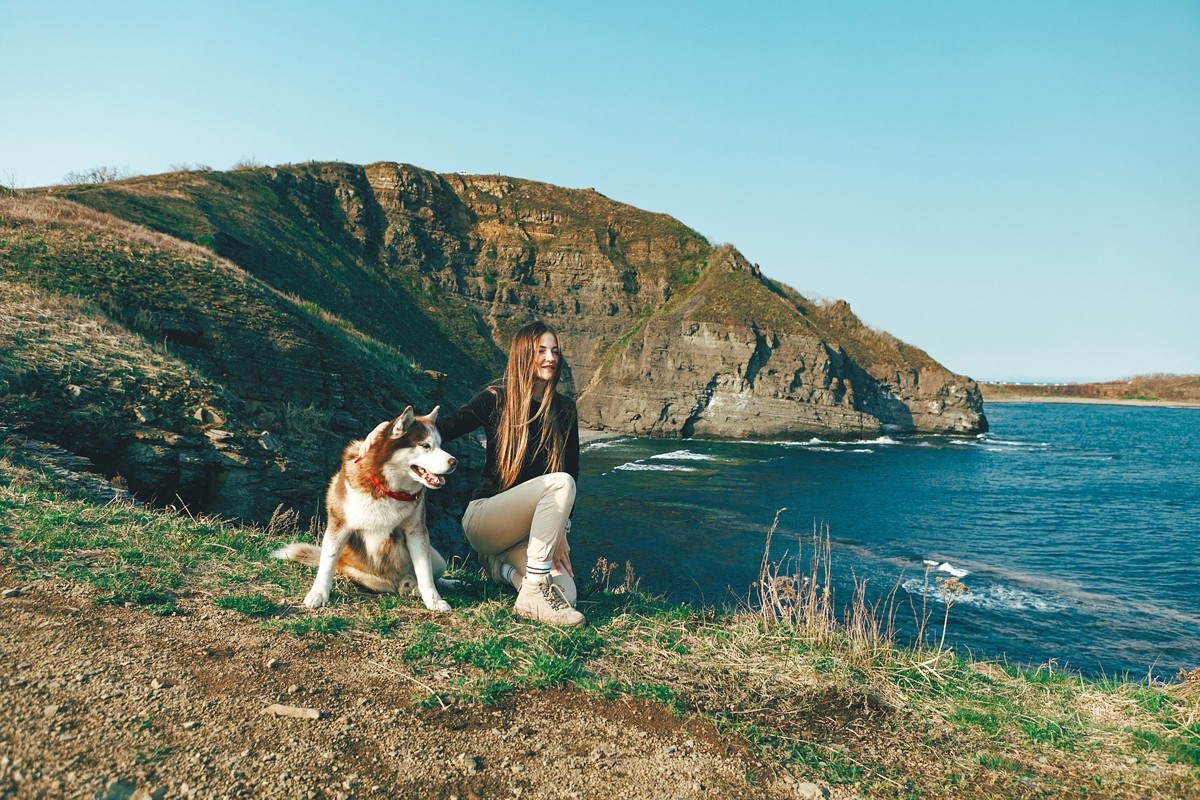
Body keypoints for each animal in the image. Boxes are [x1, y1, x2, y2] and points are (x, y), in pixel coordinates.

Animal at [276, 407, 458, 614]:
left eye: (440, 445)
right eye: (425, 446)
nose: (454, 461)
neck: (389, 490)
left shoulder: (416, 531)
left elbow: (425, 572)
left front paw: (434, 600)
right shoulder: (339, 526)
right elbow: (327, 563)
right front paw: (318, 594)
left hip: (439, 559)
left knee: (429, 574)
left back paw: (438, 583)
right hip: (363, 574)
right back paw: (408, 585)